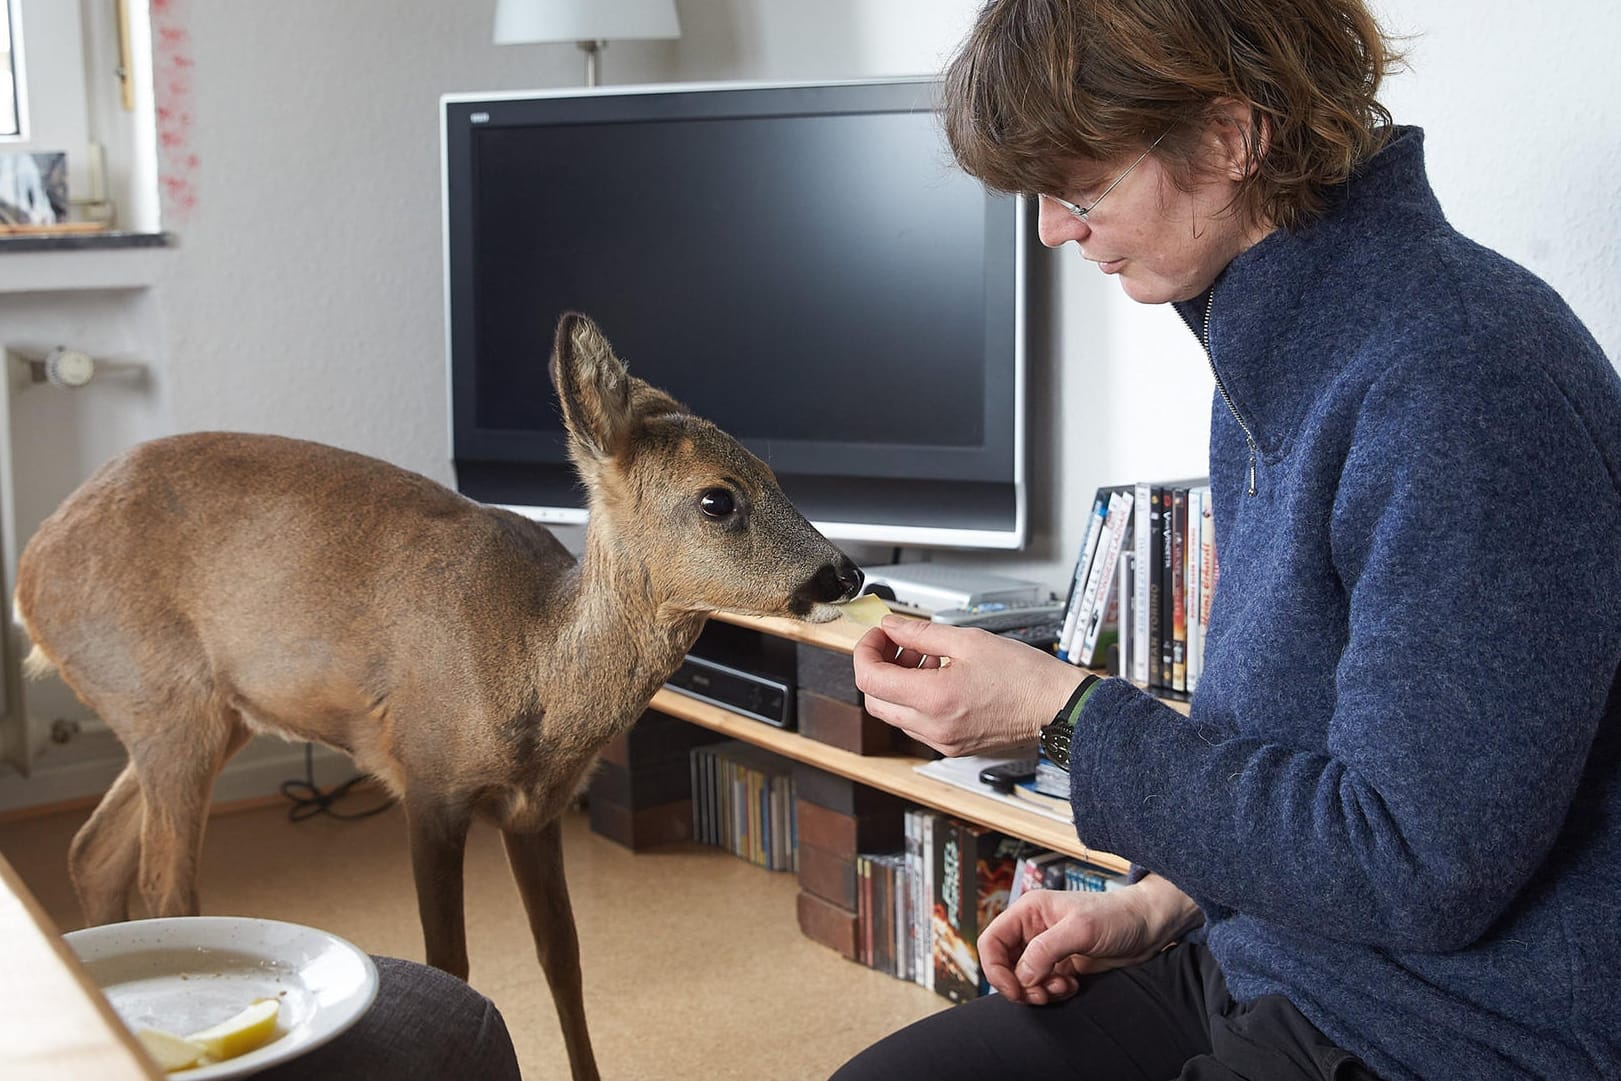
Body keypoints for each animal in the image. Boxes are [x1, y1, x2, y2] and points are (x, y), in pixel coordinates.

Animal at [12, 307, 868, 1076]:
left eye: (774, 475)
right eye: (718, 498)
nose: (847, 572)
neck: (529, 668)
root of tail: (30, 574)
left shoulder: (536, 811)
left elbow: (564, 956)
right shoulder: (427, 780)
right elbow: (450, 962)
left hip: (205, 712)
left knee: (94, 851)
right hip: (163, 694)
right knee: (164, 882)